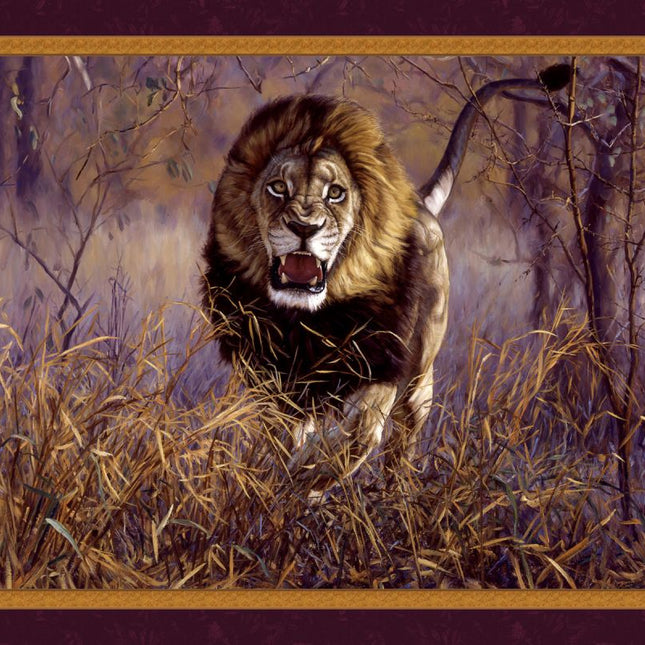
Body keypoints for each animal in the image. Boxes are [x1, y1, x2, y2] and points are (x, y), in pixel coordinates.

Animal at [202, 63, 571, 492]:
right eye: (278, 187)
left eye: (335, 193)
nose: (304, 228)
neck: (308, 319)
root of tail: (420, 204)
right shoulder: (272, 379)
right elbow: (281, 437)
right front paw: (286, 478)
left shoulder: (381, 364)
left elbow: (358, 431)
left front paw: (308, 474)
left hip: (420, 380)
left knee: (401, 445)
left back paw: (393, 492)